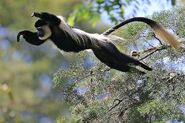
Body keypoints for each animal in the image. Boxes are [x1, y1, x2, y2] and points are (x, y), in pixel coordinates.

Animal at [17, 12, 179, 74]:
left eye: (39, 28)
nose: (38, 33)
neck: (51, 30)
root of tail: (99, 37)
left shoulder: (56, 25)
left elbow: (54, 18)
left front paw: (37, 13)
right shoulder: (48, 35)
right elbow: (37, 43)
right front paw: (22, 34)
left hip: (107, 47)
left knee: (121, 58)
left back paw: (143, 66)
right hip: (101, 53)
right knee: (116, 65)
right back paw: (139, 72)